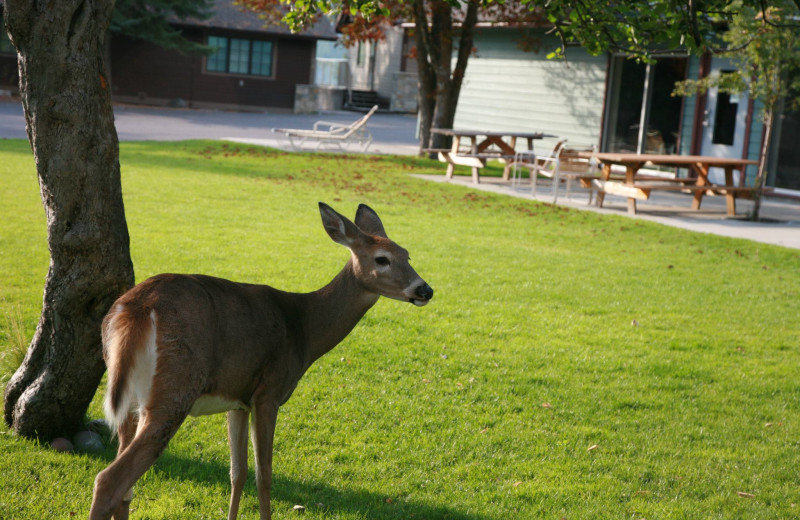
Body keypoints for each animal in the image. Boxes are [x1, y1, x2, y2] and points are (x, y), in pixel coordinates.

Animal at [89, 203, 432, 520]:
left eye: (407, 254)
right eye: (382, 259)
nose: (425, 289)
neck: (303, 328)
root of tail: (136, 308)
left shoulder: (237, 398)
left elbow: (237, 472)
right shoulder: (269, 392)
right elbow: (264, 475)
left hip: (130, 397)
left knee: (125, 487)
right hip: (174, 389)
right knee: (110, 480)